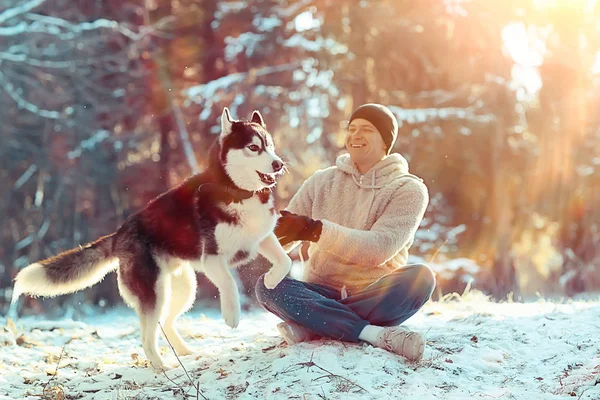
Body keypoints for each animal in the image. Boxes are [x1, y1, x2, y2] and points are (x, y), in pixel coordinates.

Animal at [12, 107, 294, 372]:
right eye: (253, 147)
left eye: (270, 146)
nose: (279, 164)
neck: (237, 192)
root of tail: (119, 233)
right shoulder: (213, 258)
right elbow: (229, 282)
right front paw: (231, 314)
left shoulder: (262, 237)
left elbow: (285, 261)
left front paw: (271, 280)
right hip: (155, 293)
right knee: (148, 337)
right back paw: (161, 366)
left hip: (182, 288)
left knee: (166, 322)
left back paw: (184, 352)